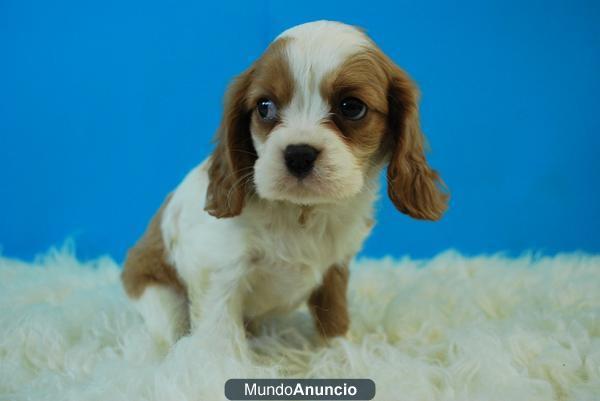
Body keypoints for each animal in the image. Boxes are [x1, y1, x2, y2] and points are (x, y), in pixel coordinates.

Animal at [122, 20, 448, 352]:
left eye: (352, 107)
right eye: (265, 107)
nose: (299, 154)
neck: (301, 211)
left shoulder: (335, 267)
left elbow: (335, 317)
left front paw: (341, 354)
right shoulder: (217, 268)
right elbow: (220, 333)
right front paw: (220, 364)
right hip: (161, 299)